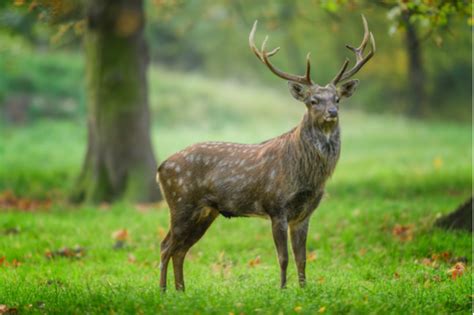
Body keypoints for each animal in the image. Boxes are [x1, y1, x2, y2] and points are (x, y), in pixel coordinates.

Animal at [157, 14, 376, 292]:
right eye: (313, 101)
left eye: (337, 98)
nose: (332, 113)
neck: (306, 174)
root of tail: (161, 167)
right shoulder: (276, 206)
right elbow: (283, 257)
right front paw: (282, 290)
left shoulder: (305, 213)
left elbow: (302, 257)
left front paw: (304, 290)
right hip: (181, 202)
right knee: (166, 246)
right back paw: (163, 290)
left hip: (205, 211)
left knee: (181, 249)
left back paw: (181, 291)